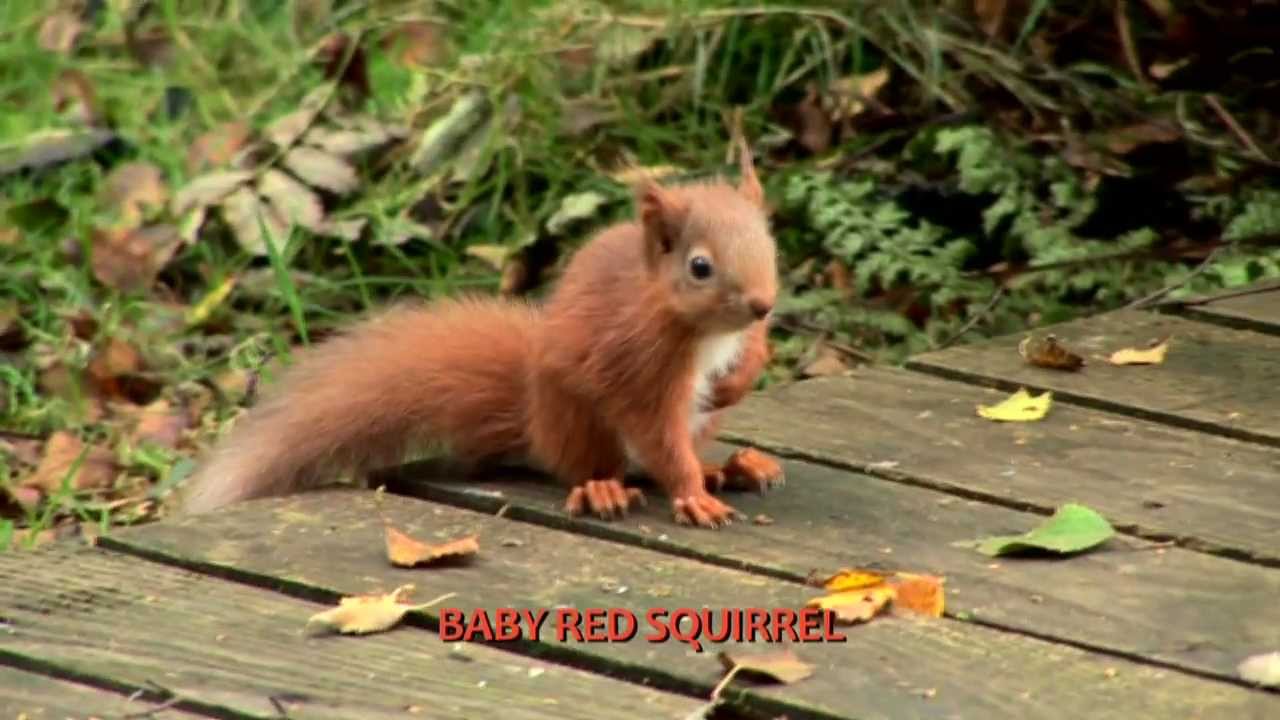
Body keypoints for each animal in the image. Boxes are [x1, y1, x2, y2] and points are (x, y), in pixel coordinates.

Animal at [179, 139, 784, 528]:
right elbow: (659, 436)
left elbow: (752, 353)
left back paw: (730, 466)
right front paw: (692, 495)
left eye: (768, 241)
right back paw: (604, 487)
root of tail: (535, 420)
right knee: (602, 465)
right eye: (700, 267)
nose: (762, 303)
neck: (706, 331)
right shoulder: (638, 361)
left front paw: (739, 378)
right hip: (578, 419)